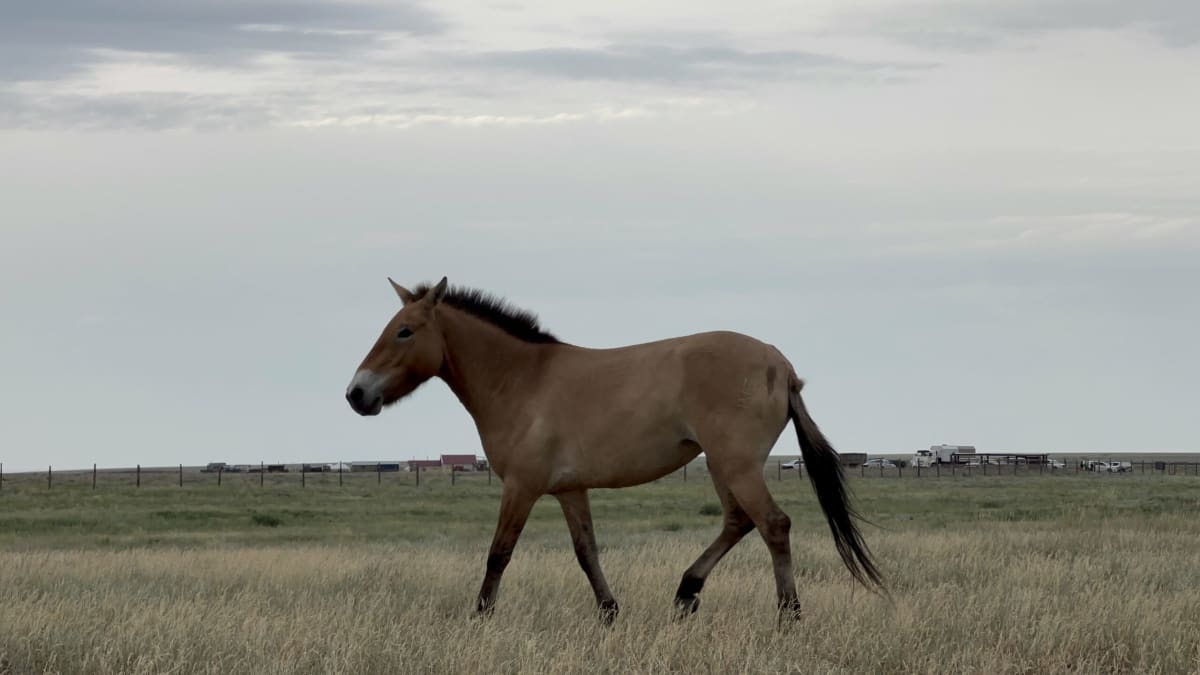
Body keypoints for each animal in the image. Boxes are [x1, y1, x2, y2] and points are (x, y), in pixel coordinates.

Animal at [345, 277, 882, 624]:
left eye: (404, 331)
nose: (356, 394)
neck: (523, 380)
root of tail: (782, 365)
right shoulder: (569, 490)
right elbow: (586, 552)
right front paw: (609, 612)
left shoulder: (521, 487)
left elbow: (499, 553)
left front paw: (479, 616)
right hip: (721, 465)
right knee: (738, 522)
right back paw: (686, 593)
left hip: (736, 465)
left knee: (773, 525)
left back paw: (788, 615)